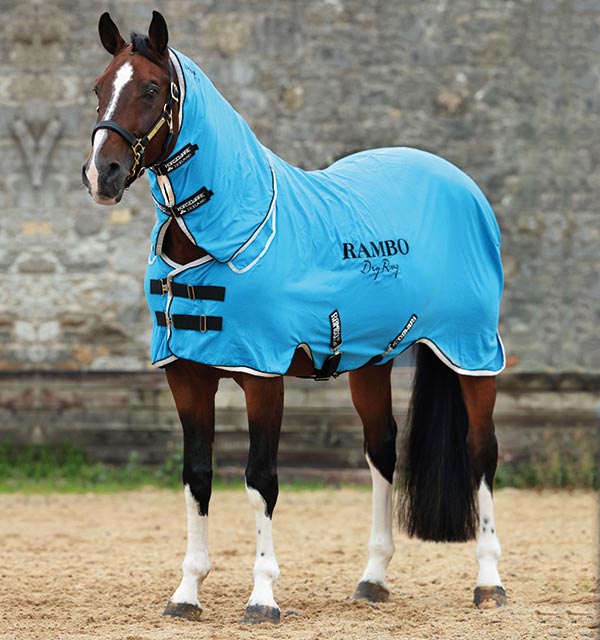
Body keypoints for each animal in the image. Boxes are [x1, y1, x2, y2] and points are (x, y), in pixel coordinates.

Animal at [82, 11, 507, 624]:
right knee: (382, 450)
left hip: (472, 350)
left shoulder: (264, 377)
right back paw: (373, 578)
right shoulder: (186, 375)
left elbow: (261, 480)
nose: (103, 175)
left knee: (481, 452)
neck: (227, 233)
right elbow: (196, 476)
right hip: (373, 362)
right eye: (98, 89)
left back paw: (489, 582)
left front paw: (262, 597)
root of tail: (459, 183)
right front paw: (187, 592)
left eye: (152, 89)